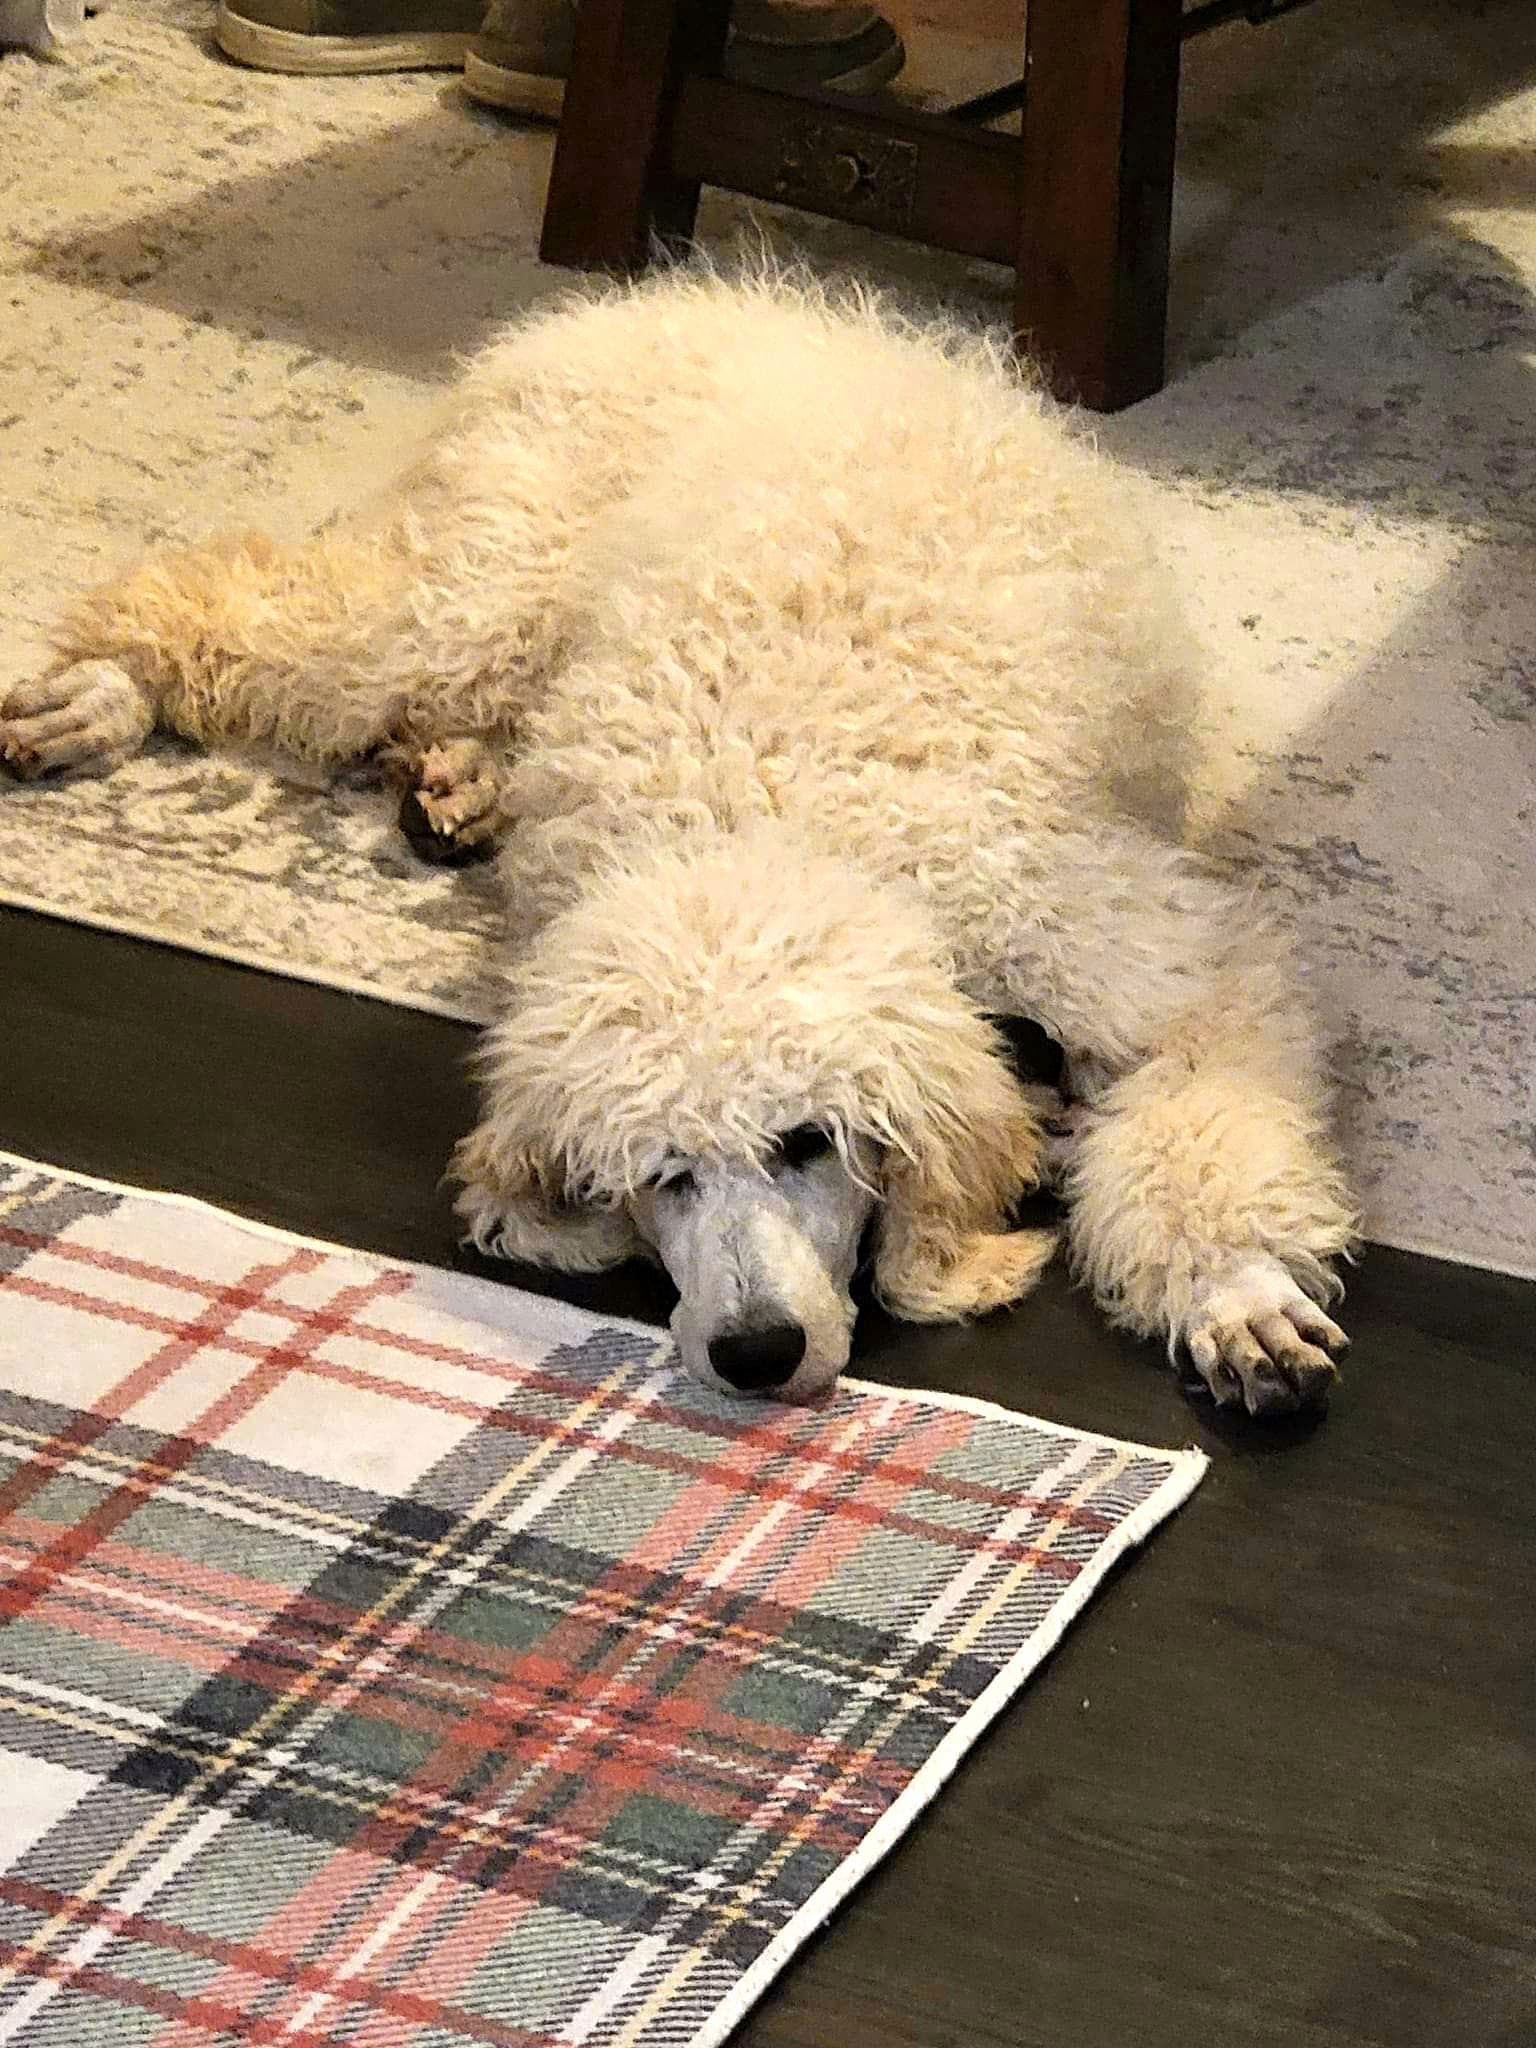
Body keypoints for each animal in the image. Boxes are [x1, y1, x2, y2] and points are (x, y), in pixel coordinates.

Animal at [0, 269, 1360, 1415]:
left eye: (810, 1142)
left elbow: (1206, 1124)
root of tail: (662, 299)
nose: (752, 1354)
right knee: (232, 604)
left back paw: (452, 778)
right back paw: (106, 692)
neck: (774, 831)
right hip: (469, 595)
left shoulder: (1152, 955)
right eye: (656, 1175)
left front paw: (1233, 1285)